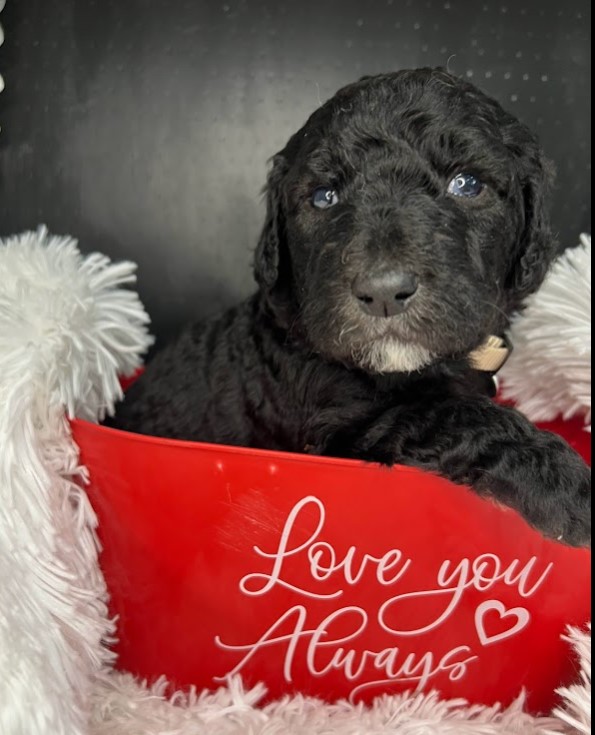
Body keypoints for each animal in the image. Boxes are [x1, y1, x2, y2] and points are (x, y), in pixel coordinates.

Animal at [112, 70, 592, 548]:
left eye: (467, 184)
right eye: (324, 196)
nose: (383, 292)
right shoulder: (340, 432)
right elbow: (452, 413)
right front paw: (566, 482)